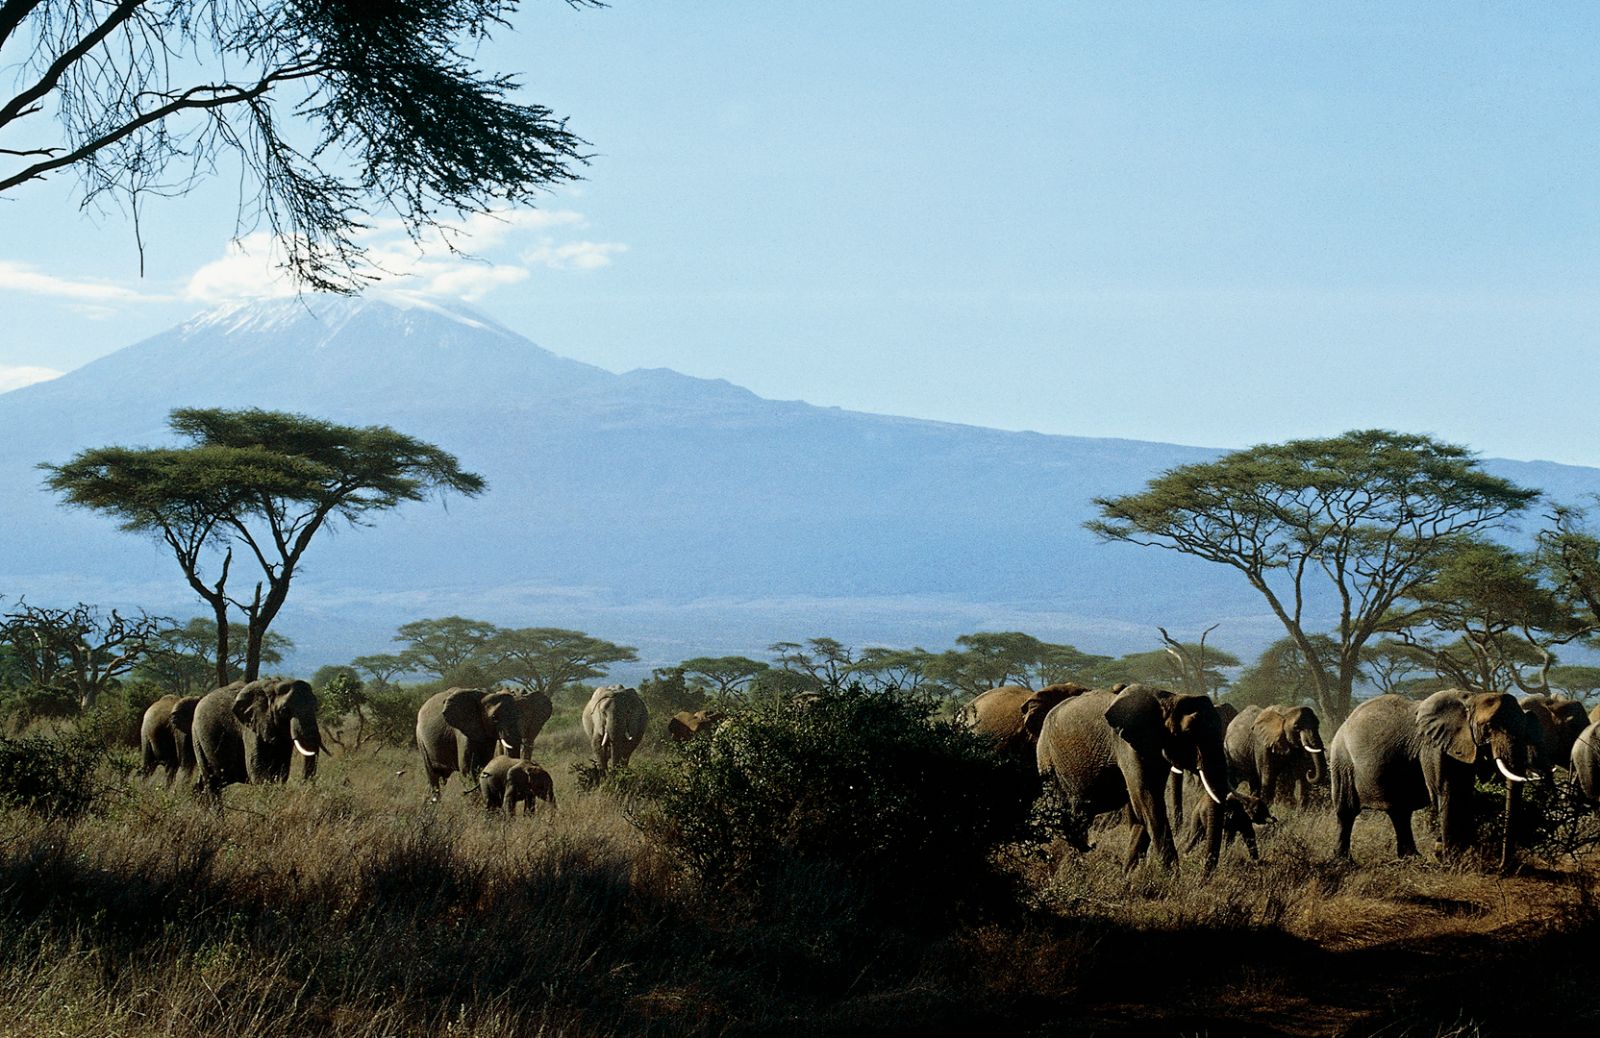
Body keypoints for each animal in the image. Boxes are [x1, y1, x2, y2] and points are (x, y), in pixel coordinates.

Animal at [190, 674, 321, 796]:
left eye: (316, 708)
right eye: (284, 711)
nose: (304, 785)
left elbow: (281, 771)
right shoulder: (251, 727)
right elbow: (257, 769)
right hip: (197, 735)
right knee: (211, 782)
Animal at [1030, 684, 1228, 870]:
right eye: (1187, 733)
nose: (1203, 875)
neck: (1168, 698)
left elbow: (1142, 807)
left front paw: (1128, 875)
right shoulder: (1126, 746)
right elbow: (1147, 801)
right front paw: (1170, 877)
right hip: (1047, 759)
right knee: (1062, 815)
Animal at [1324, 684, 1536, 863]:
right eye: (1490, 726)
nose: (1503, 866)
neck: (1471, 698)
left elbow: (1464, 794)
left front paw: (1457, 855)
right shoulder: (1433, 746)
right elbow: (1447, 792)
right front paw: (1451, 861)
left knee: (1400, 812)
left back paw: (1412, 859)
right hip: (1342, 759)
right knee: (1346, 811)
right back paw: (1344, 861)